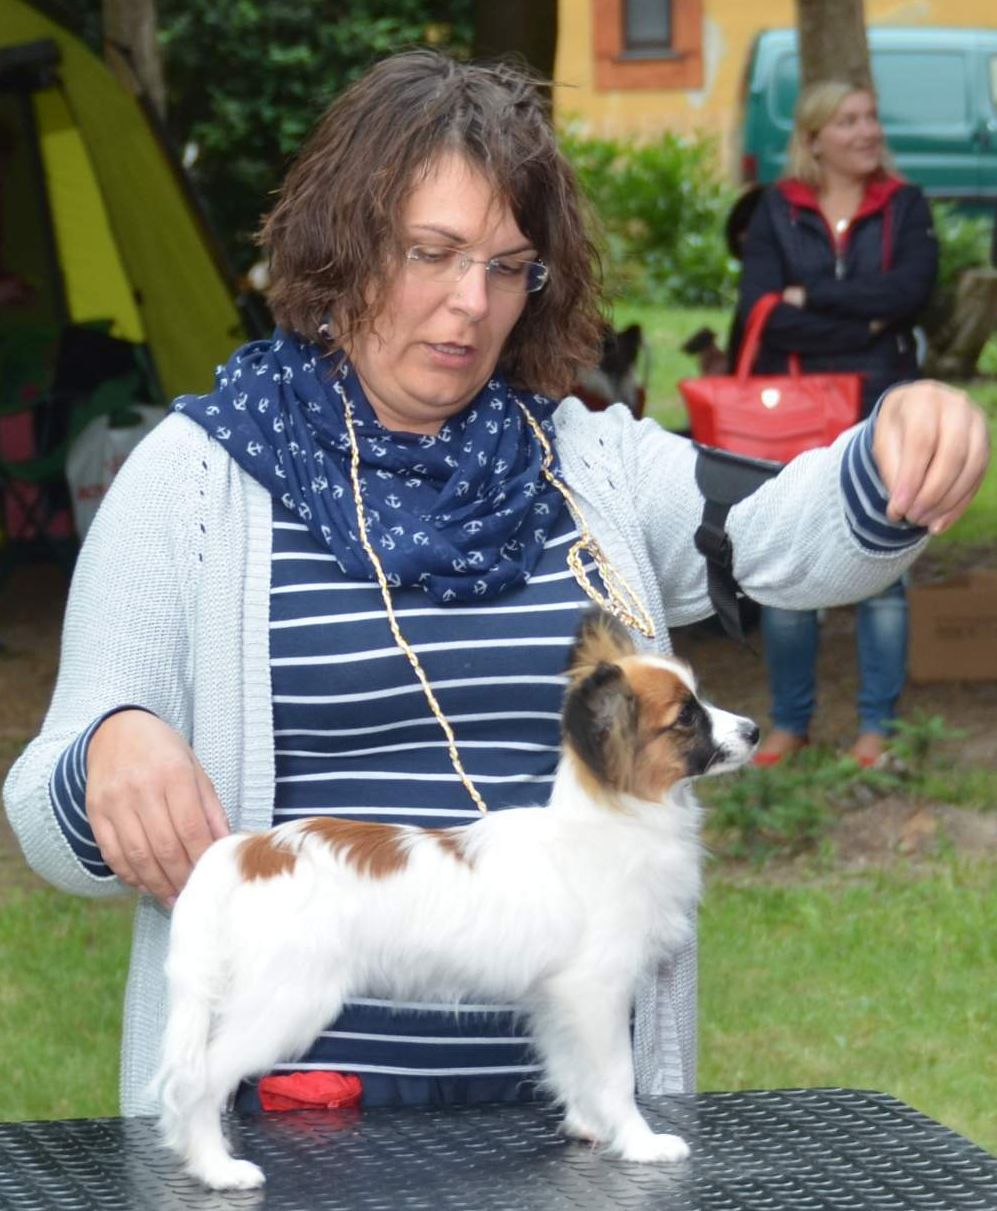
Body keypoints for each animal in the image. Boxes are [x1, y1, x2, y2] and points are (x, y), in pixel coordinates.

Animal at [153, 610, 755, 1186]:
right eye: (686, 718)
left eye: (700, 701)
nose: (751, 730)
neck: (614, 819)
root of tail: (249, 850)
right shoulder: (596, 992)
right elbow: (615, 1077)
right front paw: (639, 1141)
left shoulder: (557, 1000)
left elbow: (572, 1069)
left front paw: (588, 1127)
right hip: (286, 1003)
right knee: (199, 1080)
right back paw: (217, 1168)